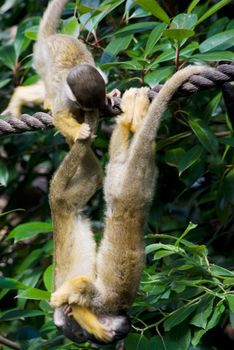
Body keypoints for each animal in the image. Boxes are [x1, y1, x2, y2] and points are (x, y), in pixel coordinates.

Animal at [49, 64, 210, 344]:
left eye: (80, 333)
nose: (84, 334)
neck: (114, 308)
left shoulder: (100, 303)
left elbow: (83, 288)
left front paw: (64, 299)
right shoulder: (102, 303)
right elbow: (84, 287)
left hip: (110, 188)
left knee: (92, 176)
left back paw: (122, 123)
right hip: (126, 185)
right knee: (115, 165)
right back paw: (128, 123)